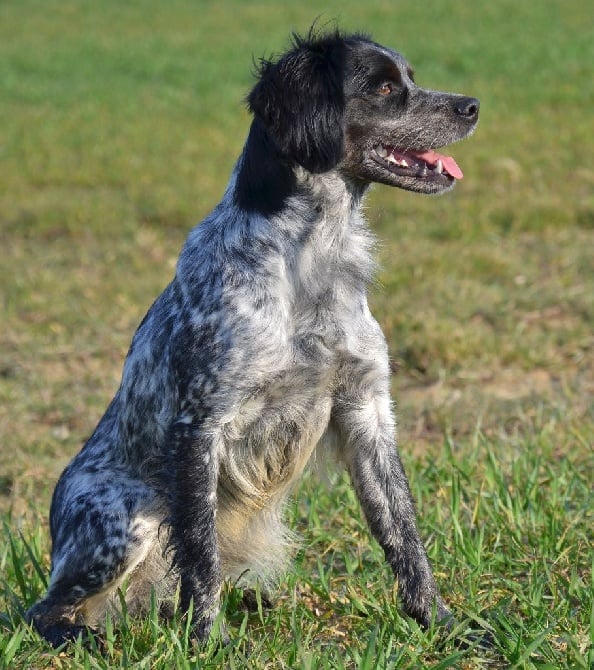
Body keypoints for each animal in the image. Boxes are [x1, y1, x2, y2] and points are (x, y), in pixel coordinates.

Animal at [26, 28, 476, 648]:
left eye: (410, 77)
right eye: (385, 88)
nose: (472, 106)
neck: (310, 256)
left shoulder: (366, 409)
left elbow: (403, 533)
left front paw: (443, 626)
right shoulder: (200, 425)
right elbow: (201, 554)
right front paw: (206, 644)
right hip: (125, 518)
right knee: (44, 610)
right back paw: (88, 638)